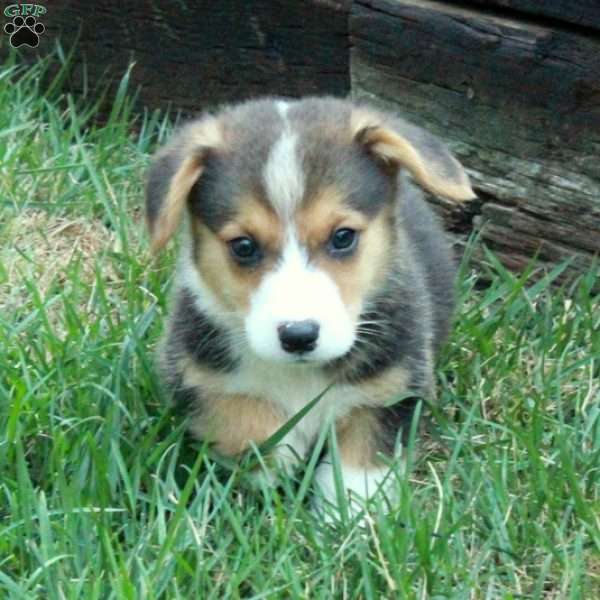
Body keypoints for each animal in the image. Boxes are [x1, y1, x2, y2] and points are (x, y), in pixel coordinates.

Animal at [145, 96, 474, 512]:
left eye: (343, 237)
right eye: (243, 246)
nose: (299, 336)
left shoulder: (394, 387)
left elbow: (361, 461)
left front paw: (350, 516)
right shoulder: (198, 379)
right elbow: (246, 423)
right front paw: (281, 460)